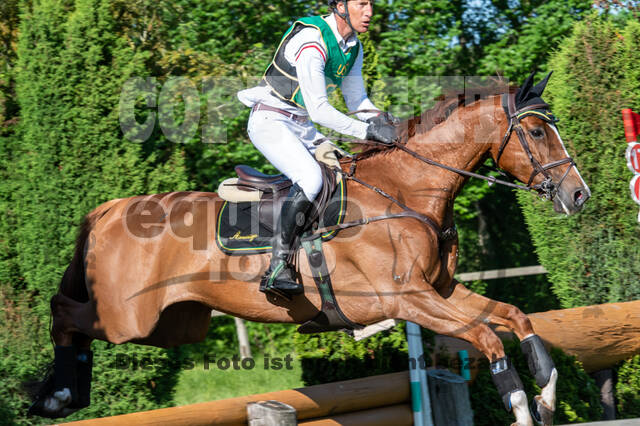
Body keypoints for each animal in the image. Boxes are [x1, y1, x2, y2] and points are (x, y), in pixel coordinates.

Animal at [29, 72, 590, 425]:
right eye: (536, 131)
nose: (579, 195)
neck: (407, 190)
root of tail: (109, 209)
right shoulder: (407, 299)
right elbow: (488, 339)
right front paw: (521, 409)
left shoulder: (441, 293)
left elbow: (516, 318)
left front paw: (546, 396)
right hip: (129, 317)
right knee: (63, 311)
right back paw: (57, 395)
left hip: (173, 325)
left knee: (77, 322)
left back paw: (65, 391)